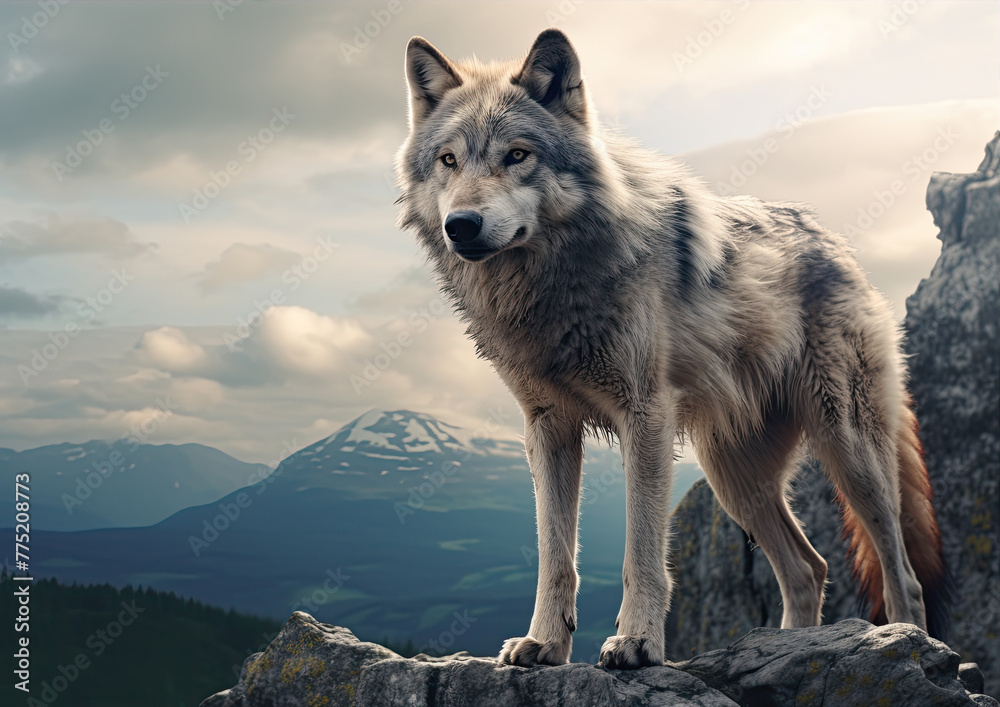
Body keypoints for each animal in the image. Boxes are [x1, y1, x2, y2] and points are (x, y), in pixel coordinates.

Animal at [394, 29, 949, 669]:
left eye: (517, 155)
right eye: (449, 161)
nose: (461, 224)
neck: (551, 288)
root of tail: (835, 242)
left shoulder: (646, 417)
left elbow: (641, 554)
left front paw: (637, 643)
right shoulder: (547, 427)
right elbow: (555, 557)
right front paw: (544, 644)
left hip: (850, 452)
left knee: (901, 573)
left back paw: (907, 642)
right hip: (735, 479)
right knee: (808, 568)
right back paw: (789, 647)